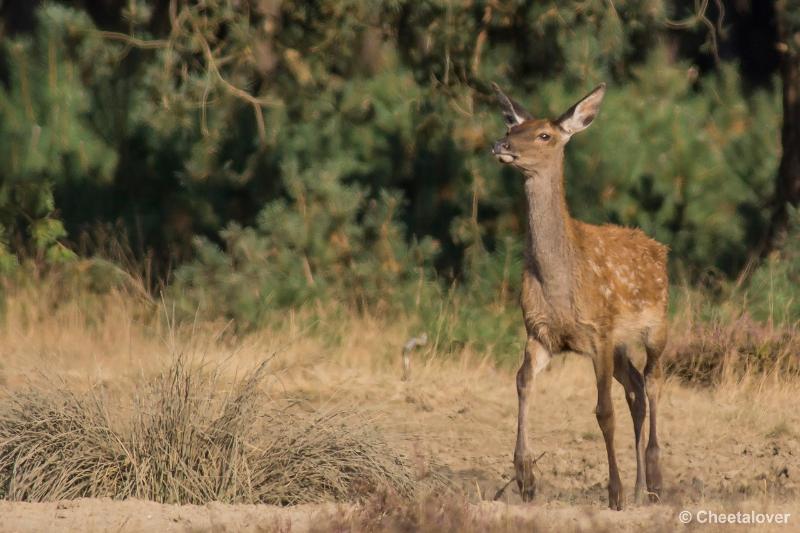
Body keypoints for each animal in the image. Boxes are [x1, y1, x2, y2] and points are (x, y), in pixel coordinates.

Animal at [488, 81, 668, 510]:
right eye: (512, 126)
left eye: (544, 135)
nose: (501, 144)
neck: (559, 283)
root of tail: (659, 248)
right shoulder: (539, 333)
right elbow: (521, 382)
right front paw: (526, 479)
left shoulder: (598, 332)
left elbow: (603, 411)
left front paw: (615, 493)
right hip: (621, 347)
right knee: (636, 389)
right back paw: (641, 486)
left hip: (657, 326)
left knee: (653, 381)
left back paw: (654, 480)